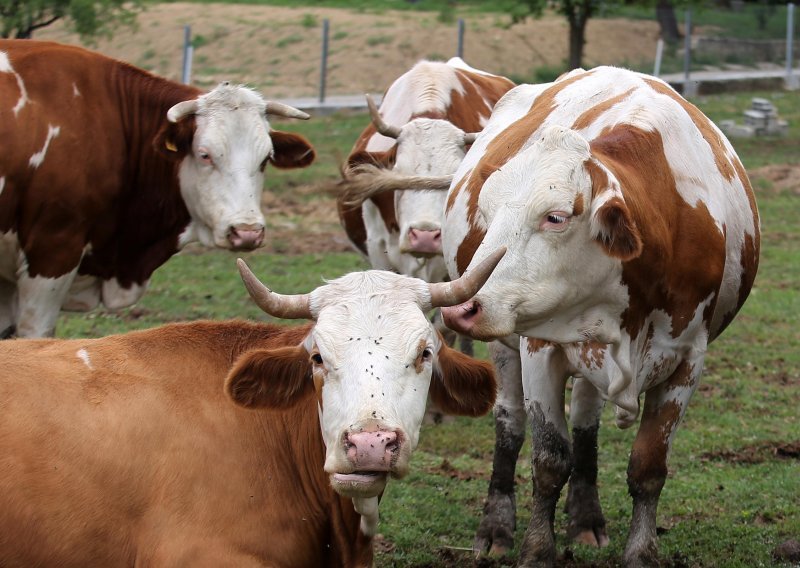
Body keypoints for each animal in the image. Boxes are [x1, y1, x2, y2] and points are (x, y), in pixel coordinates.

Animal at [440, 67, 760, 568]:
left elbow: (648, 465)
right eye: (487, 213)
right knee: (510, 423)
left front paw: (641, 551)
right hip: (506, 346)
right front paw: (537, 550)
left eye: (555, 217)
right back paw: (496, 525)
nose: (464, 306)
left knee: (587, 421)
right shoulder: (539, 348)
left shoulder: (687, 358)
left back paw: (587, 518)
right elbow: (550, 459)